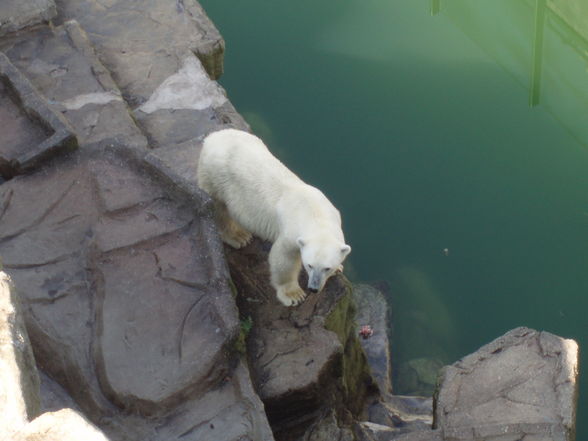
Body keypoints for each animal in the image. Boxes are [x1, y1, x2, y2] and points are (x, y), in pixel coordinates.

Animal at [200, 128, 352, 306]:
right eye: (309, 265)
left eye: (327, 268)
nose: (313, 288)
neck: (316, 214)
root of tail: (212, 137)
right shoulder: (291, 233)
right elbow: (283, 259)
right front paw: (293, 295)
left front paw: (339, 269)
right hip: (216, 177)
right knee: (219, 209)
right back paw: (239, 236)